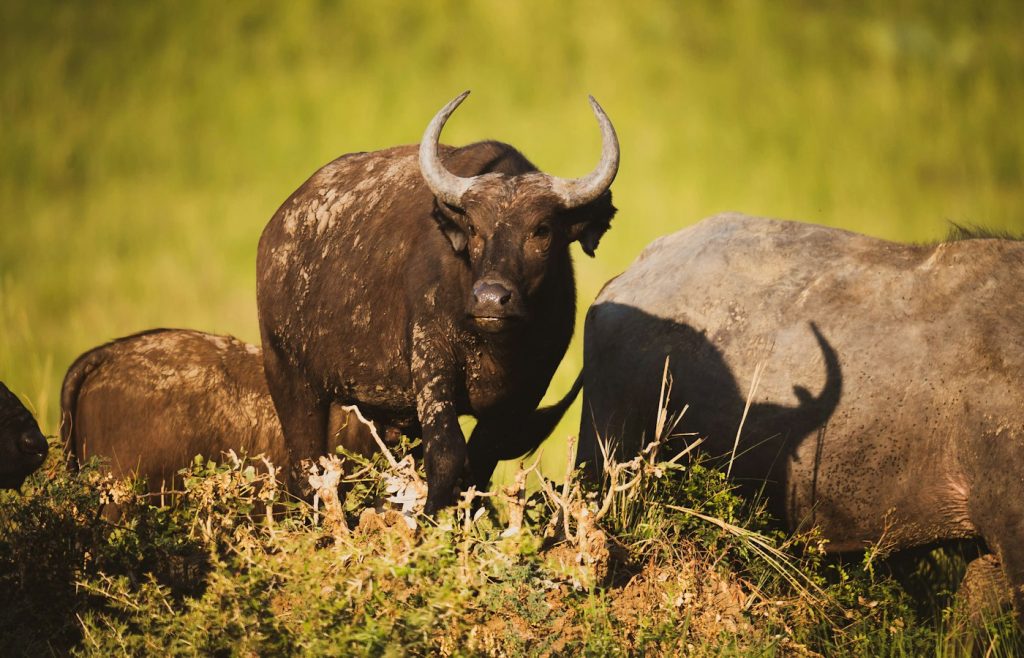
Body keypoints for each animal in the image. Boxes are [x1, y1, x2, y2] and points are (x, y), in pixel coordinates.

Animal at [257, 92, 617, 512]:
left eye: (541, 230)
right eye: (474, 228)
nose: (490, 299)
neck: (496, 347)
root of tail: (276, 230)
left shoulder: (525, 393)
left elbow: (480, 462)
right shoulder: (432, 362)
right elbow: (446, 453)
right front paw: (432, 516)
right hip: (289, 377)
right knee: (306, 468)